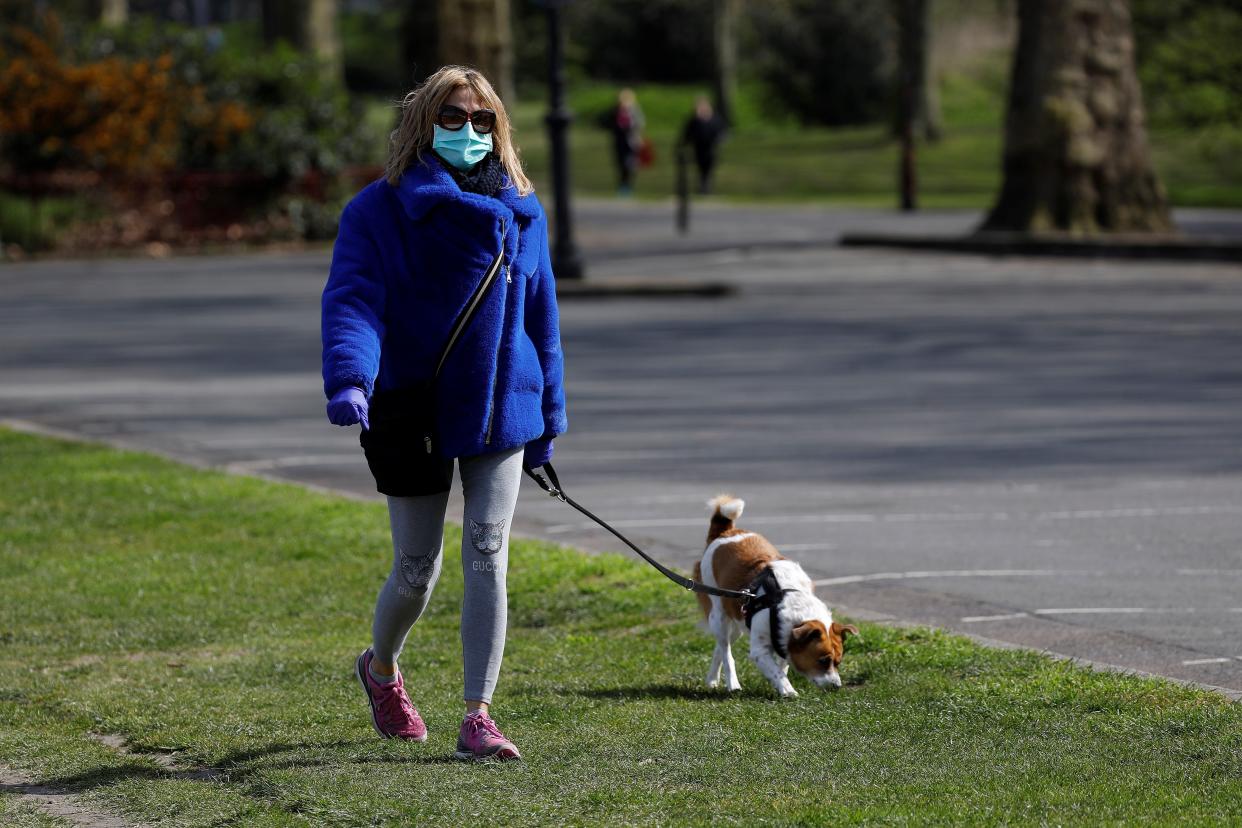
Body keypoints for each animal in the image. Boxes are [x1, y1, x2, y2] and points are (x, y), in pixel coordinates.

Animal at [690, 496, 854, 695]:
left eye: (838, 662)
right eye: (823, 660)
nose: (836, 687)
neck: (786, 598)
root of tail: (725, 533)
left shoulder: (784, 639)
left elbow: (782, 666)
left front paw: (781, 684)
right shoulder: (760, 650)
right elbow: (776, 671)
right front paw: (788, 691)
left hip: (736, 621)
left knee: (721, 648)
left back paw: (712, 680)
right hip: (718, 615)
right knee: (727, 653)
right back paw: (733, 685)